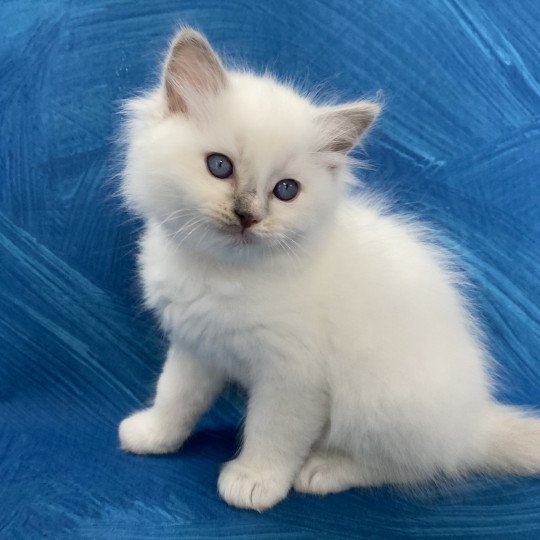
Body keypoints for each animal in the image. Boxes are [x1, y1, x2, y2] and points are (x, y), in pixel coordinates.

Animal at [118, 28, 540, 510]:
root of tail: (474, 422)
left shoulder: (293, 376)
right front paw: (152, 435)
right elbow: (175, 396)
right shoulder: (196, 347)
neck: (223, 272)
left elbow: (272, 432)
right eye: (219, 166)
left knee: (409, 466)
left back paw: (324, 469)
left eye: (286, 190)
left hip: (377, 400)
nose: (249, 216)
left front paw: (255, 481)